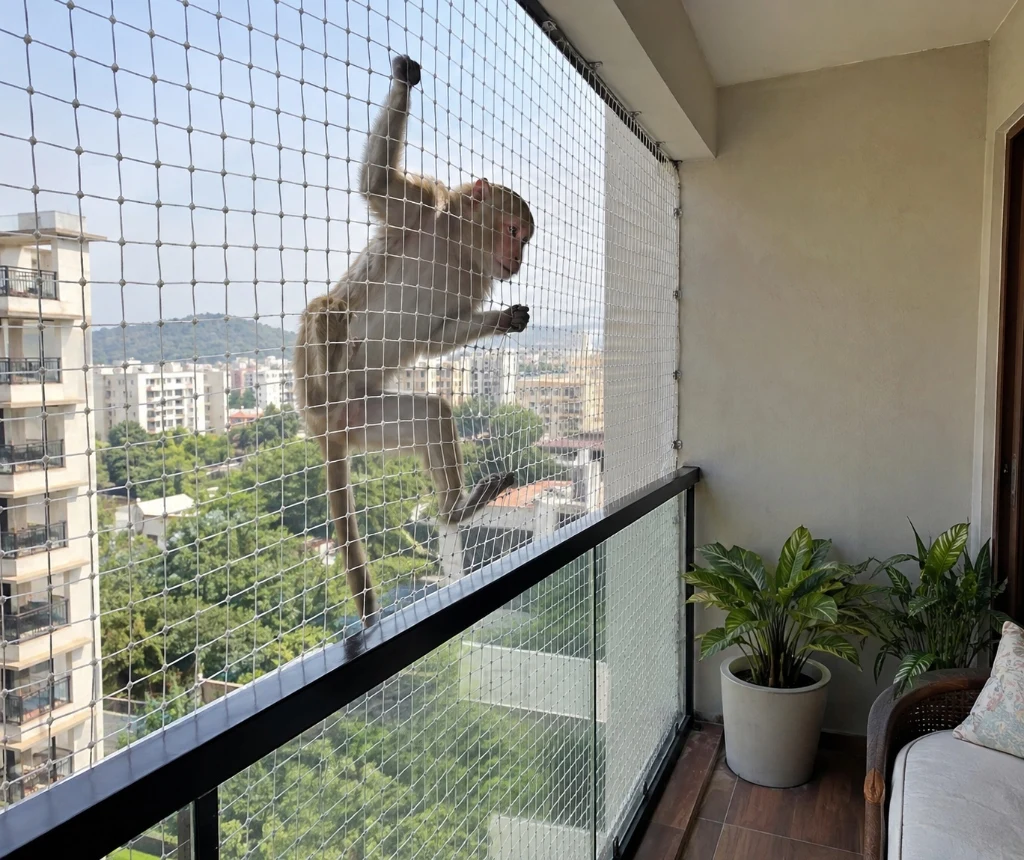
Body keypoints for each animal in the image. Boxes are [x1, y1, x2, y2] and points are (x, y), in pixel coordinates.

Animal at [294, 55, 535, 628]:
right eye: (513, 231)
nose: (517, 262)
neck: (456, 248)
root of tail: (328, 426)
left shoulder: (476, 281)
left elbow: (437, 339)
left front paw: (507, 318)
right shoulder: (421, 205)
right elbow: (377, 184)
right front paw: (405, 78)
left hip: (368, 421)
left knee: (430, 413)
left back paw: (455, 508)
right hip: (315, 396)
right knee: (326, 309)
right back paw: (329, 370)